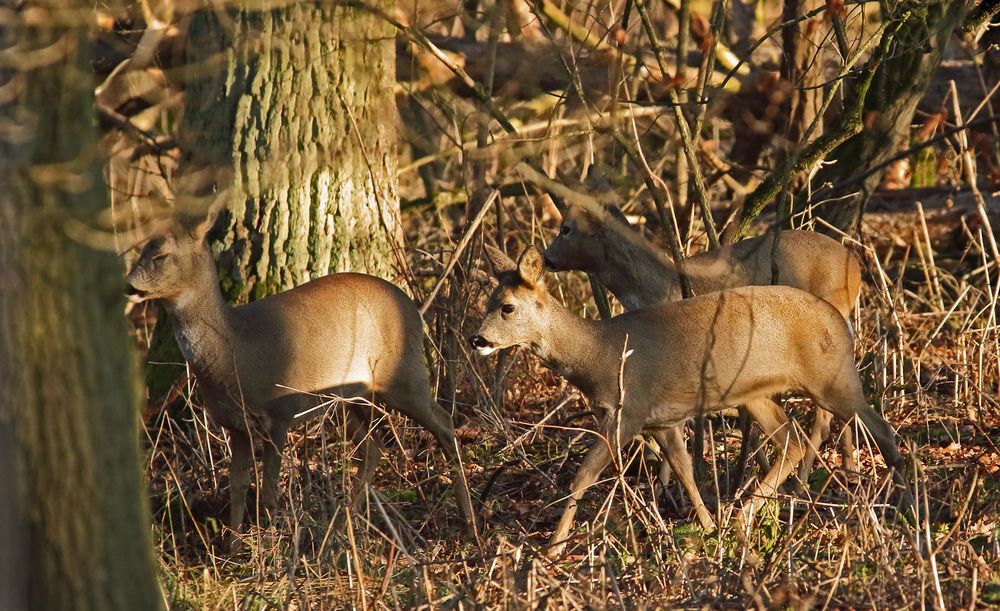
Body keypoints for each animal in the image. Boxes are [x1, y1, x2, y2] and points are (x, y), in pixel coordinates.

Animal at [126, 218, 480, 544]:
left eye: (161, 255)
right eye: (142, 250)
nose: (129, 284)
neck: (234, 351)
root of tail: (414, 309)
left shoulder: (279, 413)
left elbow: (269, 493)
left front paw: (269, 551)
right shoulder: (235, 425)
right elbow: (238, 486)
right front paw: (232, 546)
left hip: (403, 374)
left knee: (443, 422)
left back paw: (469, 524)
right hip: (353, 396)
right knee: (374, 447)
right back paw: (344, 525)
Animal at [472, 246, 912, 556]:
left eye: (507, 307)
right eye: (488, 302)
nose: (478, 339)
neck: (599, 354)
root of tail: (841, 322)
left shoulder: (628, 411)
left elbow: (583, 475)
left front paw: (552, 547)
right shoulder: (662, 421)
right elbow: (684, 470)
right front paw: (708, 527)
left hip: (832, 377)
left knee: (881, 427)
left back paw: (907, 505)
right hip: (755, 395)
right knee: (792, 439)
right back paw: (744, 516)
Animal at [544, 206, 864, 488]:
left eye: (566, 228)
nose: (547, 258)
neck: (658, 287)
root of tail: (856, 267)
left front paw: (668, 485)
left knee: (825, 412)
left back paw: (803, 482)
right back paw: (846, 469)